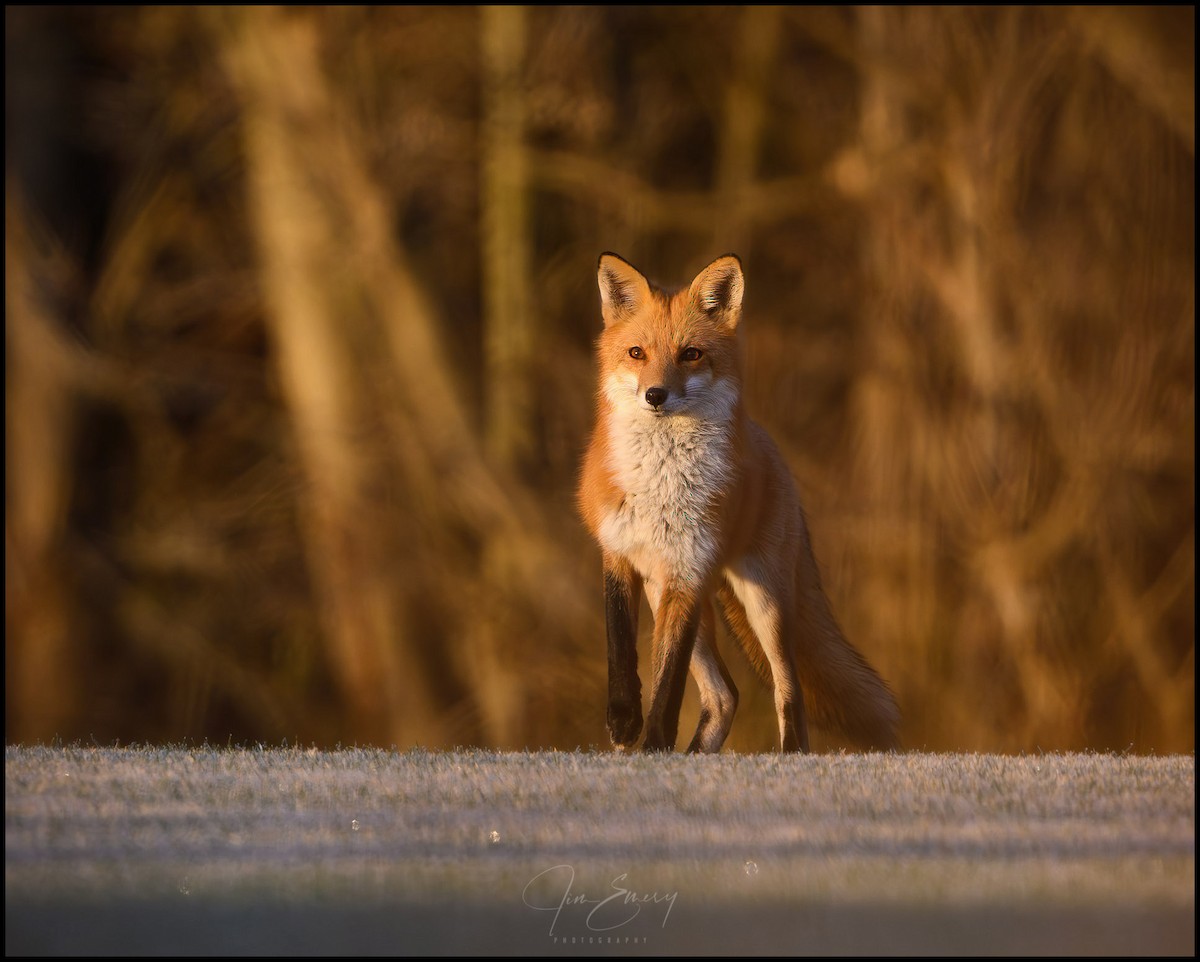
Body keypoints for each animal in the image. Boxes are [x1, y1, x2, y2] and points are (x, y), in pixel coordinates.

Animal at [577, 252, 900, 753]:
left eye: (691, 354)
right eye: (636, 353)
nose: (655, 395)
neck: (662, 485)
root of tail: (767, 443)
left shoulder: (687, 571)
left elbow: (668, 685)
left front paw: (653, 746)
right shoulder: (619, 556)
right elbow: (620, 647)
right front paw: (626, 721)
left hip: (763, 602)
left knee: (788, 691)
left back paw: (789, 755)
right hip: (663, 592)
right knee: (725, 695)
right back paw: (695, 753)